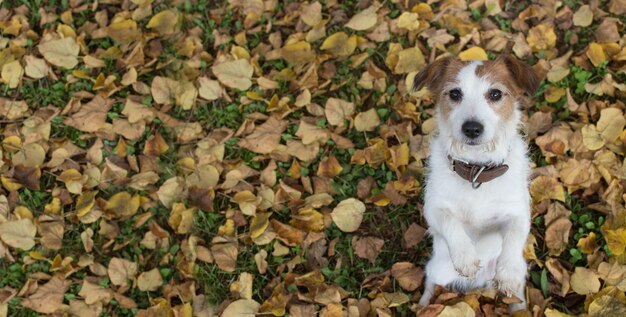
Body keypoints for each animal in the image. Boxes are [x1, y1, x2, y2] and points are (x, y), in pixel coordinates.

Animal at [412, 55, 540, 312]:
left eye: (495, 94)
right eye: (454, 93)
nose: (472, 128)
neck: (476, 172)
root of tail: (481, 282)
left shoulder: (518, 212)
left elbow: (514, 234)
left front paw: (507, 270)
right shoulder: (433, 209)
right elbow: (450, 222)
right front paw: (465, 256)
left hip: (520, 273)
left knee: (517, 290)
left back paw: (519, 308)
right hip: (439, 269)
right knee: (431, 280)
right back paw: (424, 304)